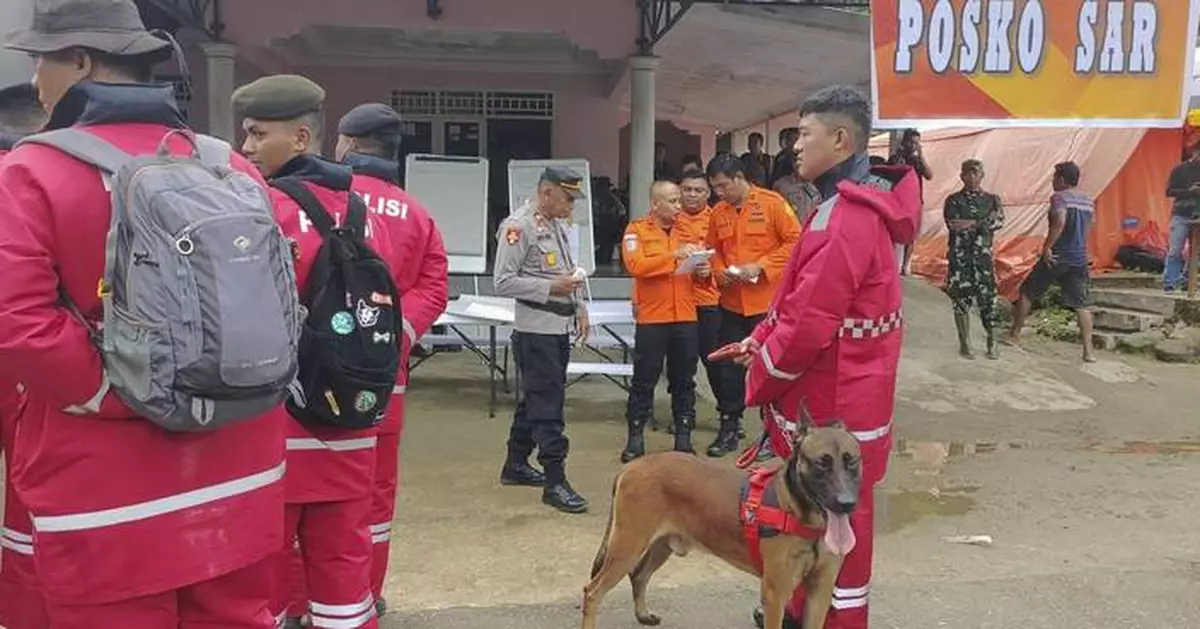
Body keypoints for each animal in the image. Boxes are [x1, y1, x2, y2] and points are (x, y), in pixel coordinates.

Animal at [580, 417, 864, 629]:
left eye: (852, 461)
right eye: (821, 464)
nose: (847, 503)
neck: (799, 512)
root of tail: (631, 467)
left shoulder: (820, 592)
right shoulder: (776, 594)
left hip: (662, 544)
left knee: (638, 575)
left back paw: (643, 615)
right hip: (626, 548)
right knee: (592, 593)